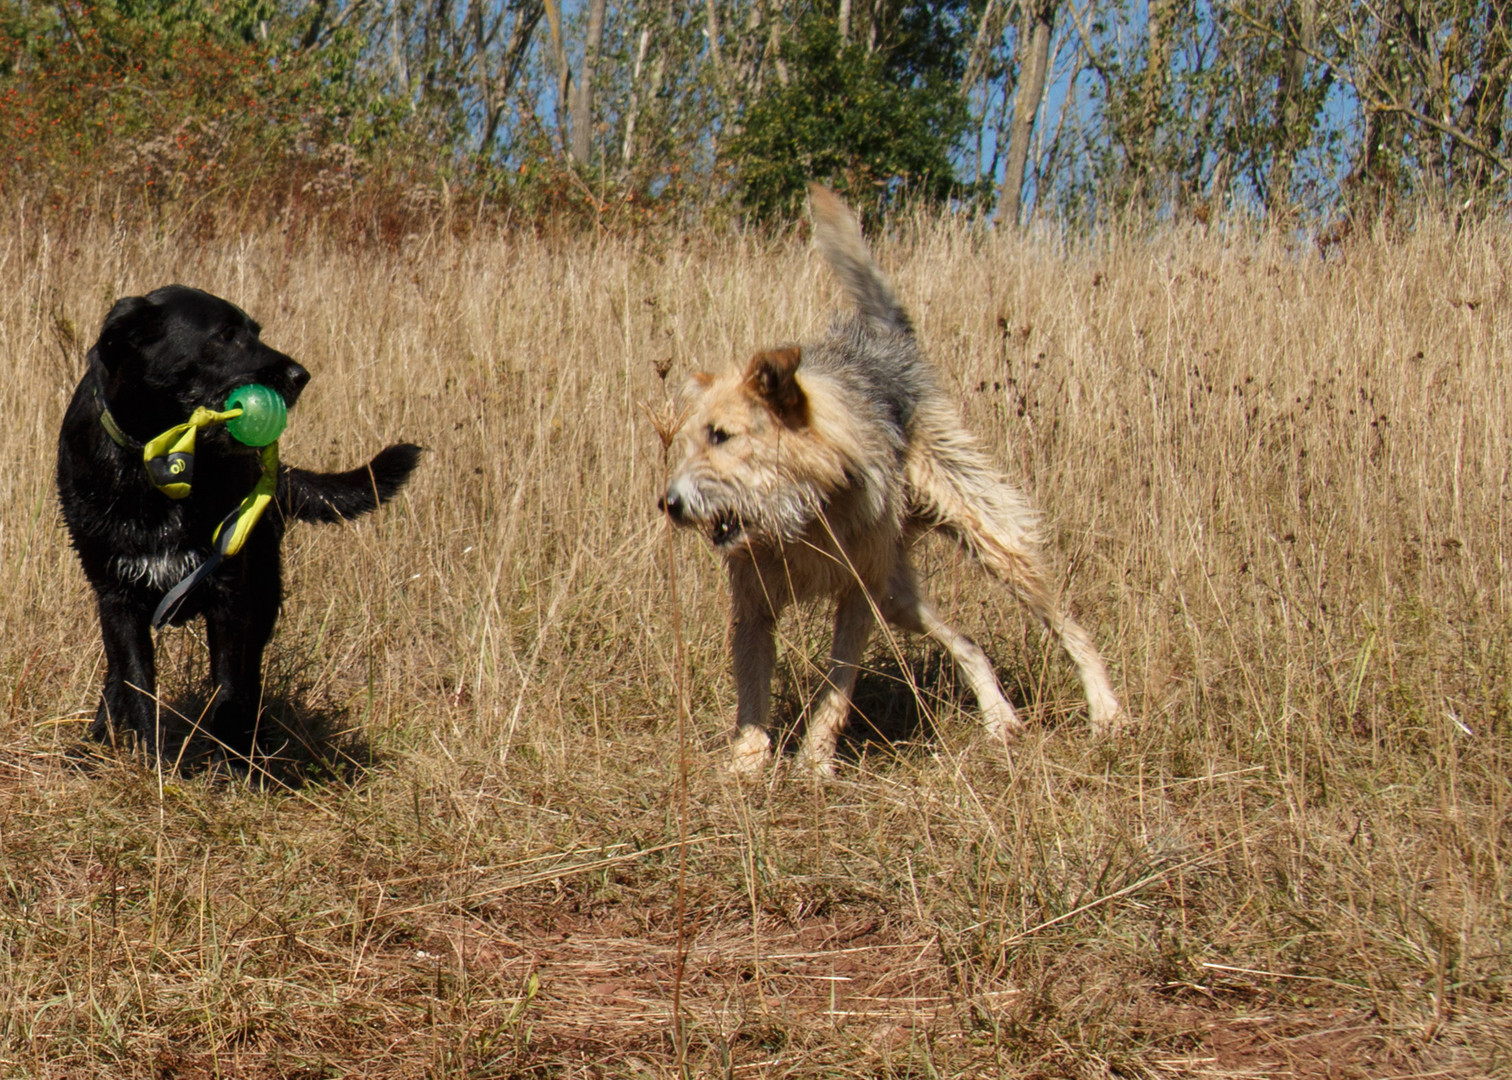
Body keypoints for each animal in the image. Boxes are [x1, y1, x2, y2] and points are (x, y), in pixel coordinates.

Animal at [58, 284, 423, 756]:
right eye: (227, 335)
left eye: (255, 332)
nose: (301, 375)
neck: (156, 466)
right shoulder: (116, 596)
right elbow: (136, 682)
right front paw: (152, 760)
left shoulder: (230, 594)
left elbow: (229, 688)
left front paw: (232, 764)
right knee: (117, 676)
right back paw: (100, 736)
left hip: (264, 590)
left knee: (250, 678)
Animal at [662, 185, 1124, 774]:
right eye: (689, 441)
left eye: (722, 436)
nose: (669, 504)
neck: (805, 521)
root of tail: (889, 345)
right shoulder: (755, 608)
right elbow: (752, 697)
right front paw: (746, 769)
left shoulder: (857, 598)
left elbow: (835, 693)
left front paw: (814, 767)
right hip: (899, 597)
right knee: (968, 642)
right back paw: (1000, 721)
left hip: (992, 549)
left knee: (1068, 625)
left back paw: (1105, 711)